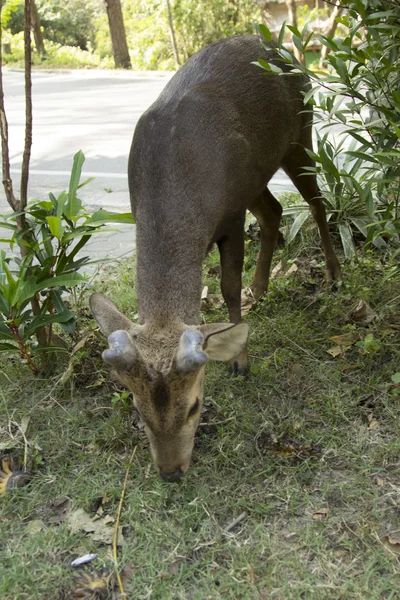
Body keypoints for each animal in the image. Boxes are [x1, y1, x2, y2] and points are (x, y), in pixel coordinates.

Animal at [90, 34, 340, 482]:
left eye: (194, 406)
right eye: (137, 408)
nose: (171, 471)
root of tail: (280, 48)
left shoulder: (231, 213)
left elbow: (228, 285)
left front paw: (241, 360)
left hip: (301, 132)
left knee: (315, 202)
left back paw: (333, 274)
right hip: (258, 174)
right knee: (274, 210)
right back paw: (263, 287)